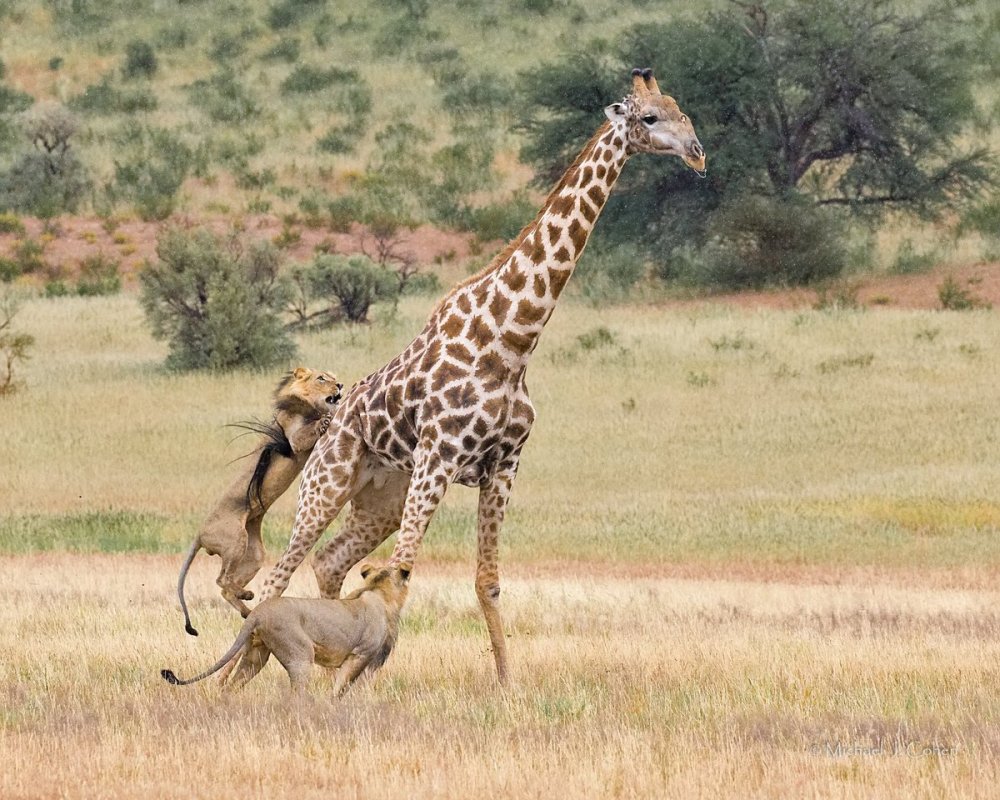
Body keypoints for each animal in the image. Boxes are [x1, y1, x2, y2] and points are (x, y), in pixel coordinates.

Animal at [162, 564, 408, 692]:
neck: (378, 592)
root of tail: (257, 613)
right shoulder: (361, 654)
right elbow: (341, 687)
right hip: (300, 654)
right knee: (297, 694)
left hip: (256, 656)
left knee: (232, 686)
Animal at [174, 368, 342, 636]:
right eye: (322, 378)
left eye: (333, 376)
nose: (340, 385)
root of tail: (199, 534)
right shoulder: (295, 439)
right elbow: (309, 430)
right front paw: (327, 418)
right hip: (235, 539)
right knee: (222, 579)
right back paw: (246, 596)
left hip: (254, 554)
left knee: (225, 587)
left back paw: (247, 608)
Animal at [254, 69, 708, 684]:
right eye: (649, 118)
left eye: (682, 108)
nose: (698, 153)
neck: (512, 341)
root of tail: (328, 423)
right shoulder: (440, 457)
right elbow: (401, 574)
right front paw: (362, 679)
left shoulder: (505, 464)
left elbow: (487, 582)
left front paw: (506, 686)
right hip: (328, 484)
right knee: (278, 576)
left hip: (382, 497)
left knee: (330, 562)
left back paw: (327, 670)